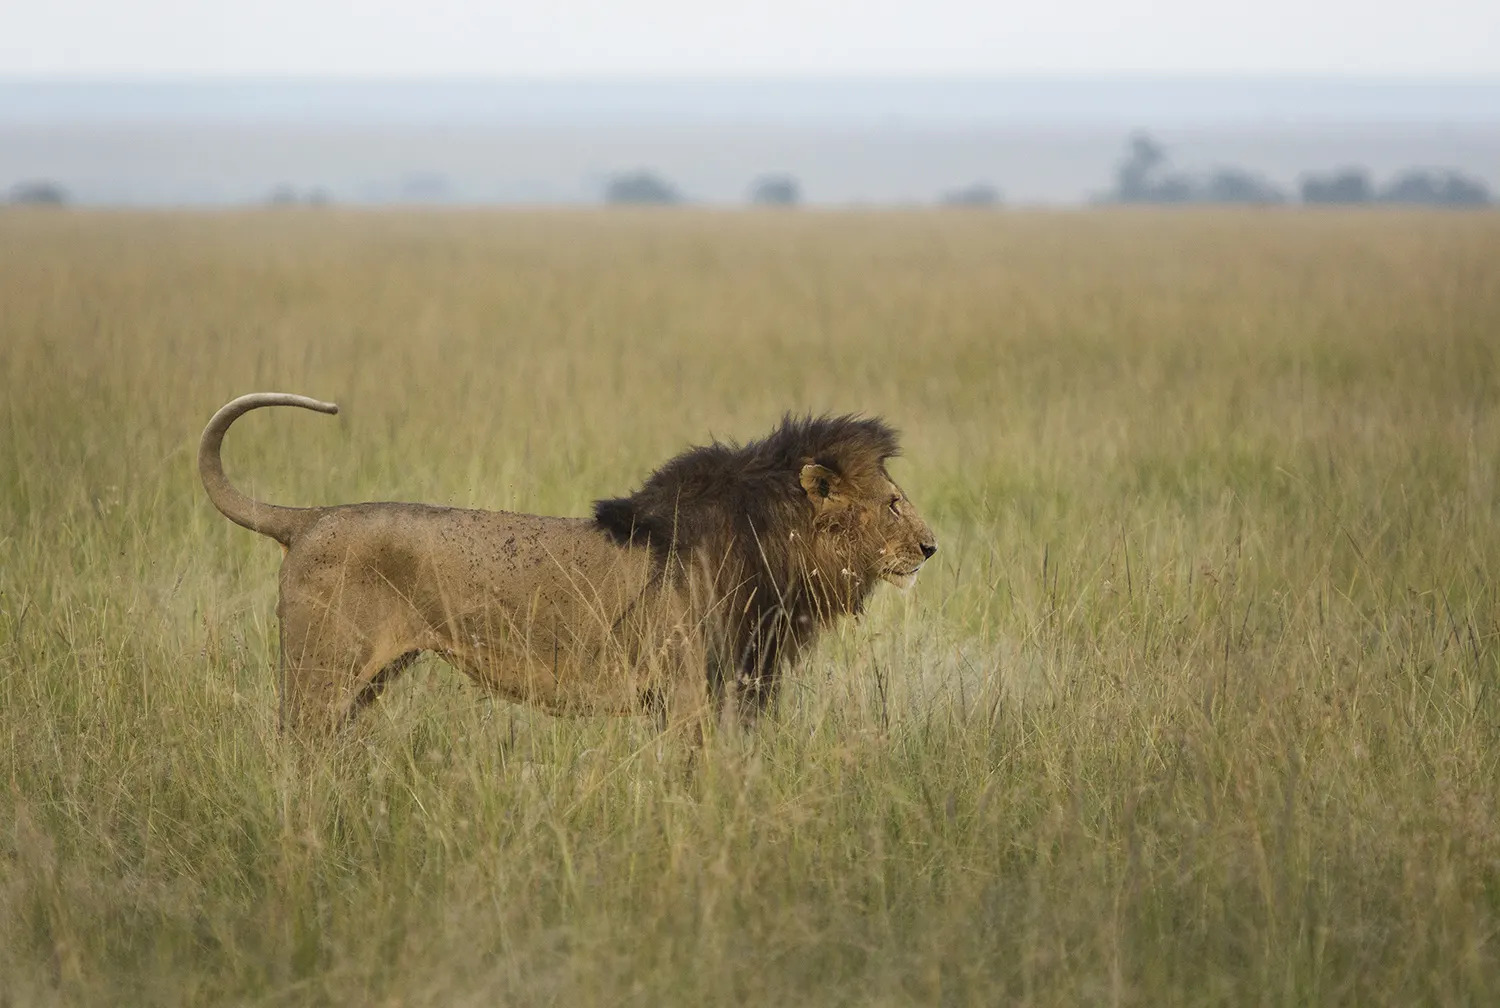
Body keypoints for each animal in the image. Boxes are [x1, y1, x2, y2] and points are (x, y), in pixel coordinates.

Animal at [193, 393, 930, 732]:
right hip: (318, 677)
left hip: (364, 681)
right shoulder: (688, 691)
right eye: (894, 503)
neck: (773, 547)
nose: (930, 547)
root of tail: (309, 518)